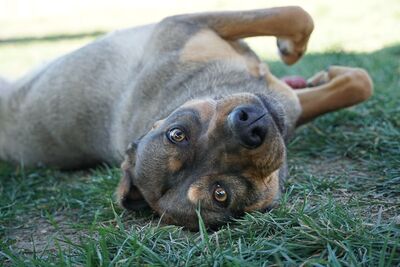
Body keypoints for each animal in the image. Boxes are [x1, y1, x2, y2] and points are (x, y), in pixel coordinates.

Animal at [0, 7, 372, 231]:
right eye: (220, 194)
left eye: (176, 134)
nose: (250, 125)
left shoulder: (185, 23)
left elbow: (300, 20)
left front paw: (297, 55)